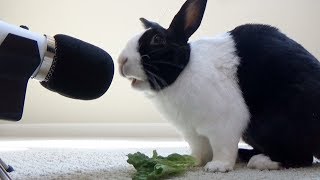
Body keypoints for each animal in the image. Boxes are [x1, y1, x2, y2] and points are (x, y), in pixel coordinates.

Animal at [117, 0, 320, 172]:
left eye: (157, 40)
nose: (121, 60)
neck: (185, 71)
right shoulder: (192, 133)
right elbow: (200, 150)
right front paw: (193, 162)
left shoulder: (223, 125)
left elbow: (223, 147)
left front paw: (217, 167)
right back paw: (246, 156)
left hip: (270, 125)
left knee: (302, 158)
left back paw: (259, 161)